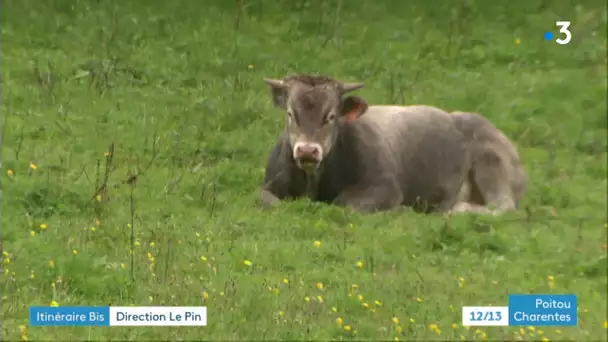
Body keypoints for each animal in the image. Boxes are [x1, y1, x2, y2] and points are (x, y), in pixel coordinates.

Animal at [258, 74, 472, 214]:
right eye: (290, 113)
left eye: (331, 116)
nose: (307, 150)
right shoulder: (269, 185)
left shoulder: (384, 187)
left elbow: (344, 203)